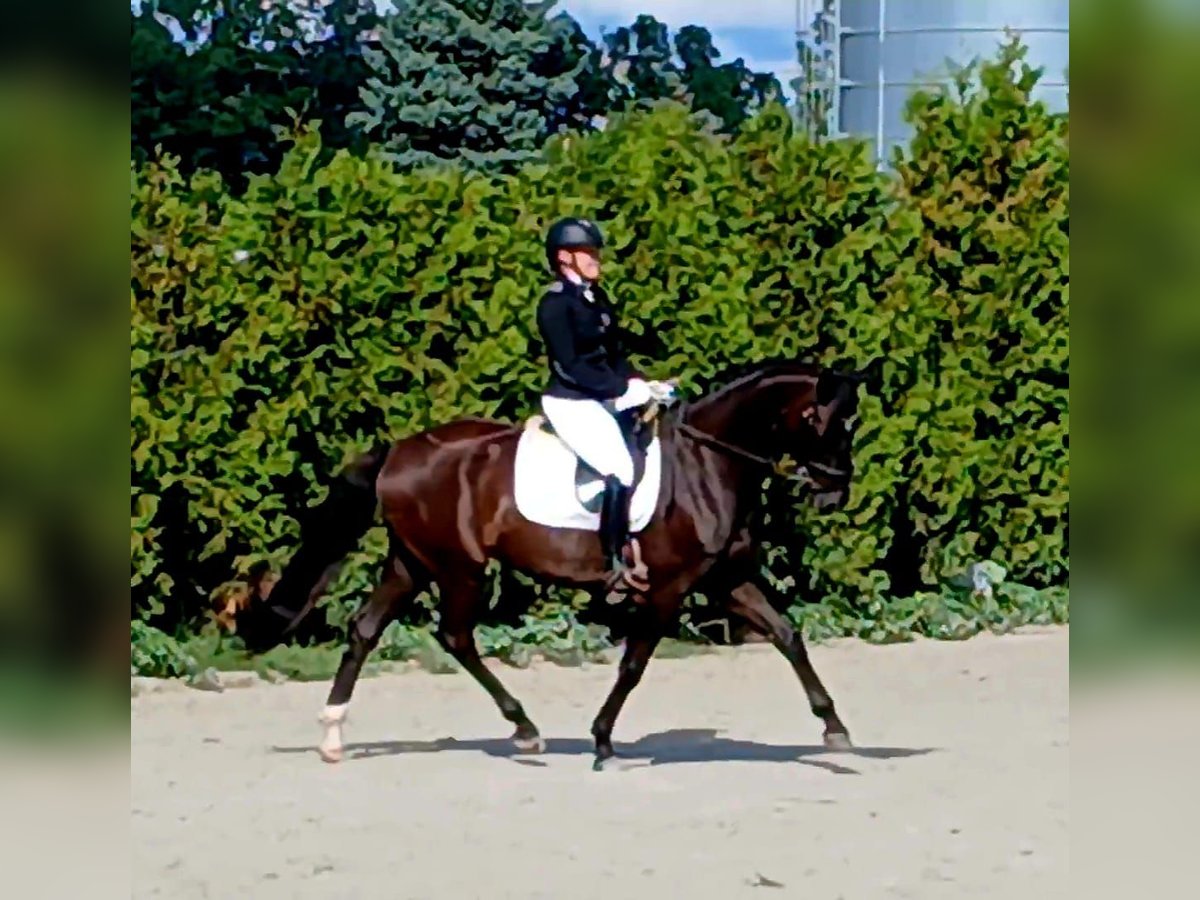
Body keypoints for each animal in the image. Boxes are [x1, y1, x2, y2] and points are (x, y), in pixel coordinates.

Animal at [250, 358, 866, 770]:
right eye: (819, 417)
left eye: (850, 422)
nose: (833, 493)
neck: (705, 464)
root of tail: (399, 450)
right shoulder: (670, 587)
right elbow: (634, 665)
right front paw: (602, 741)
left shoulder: (726, 580)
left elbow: (788, 636)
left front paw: (835, 728)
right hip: (458, 567)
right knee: (455, 637)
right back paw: (524, 730)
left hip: (412, 563)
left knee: (367, 629)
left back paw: (333, 737)